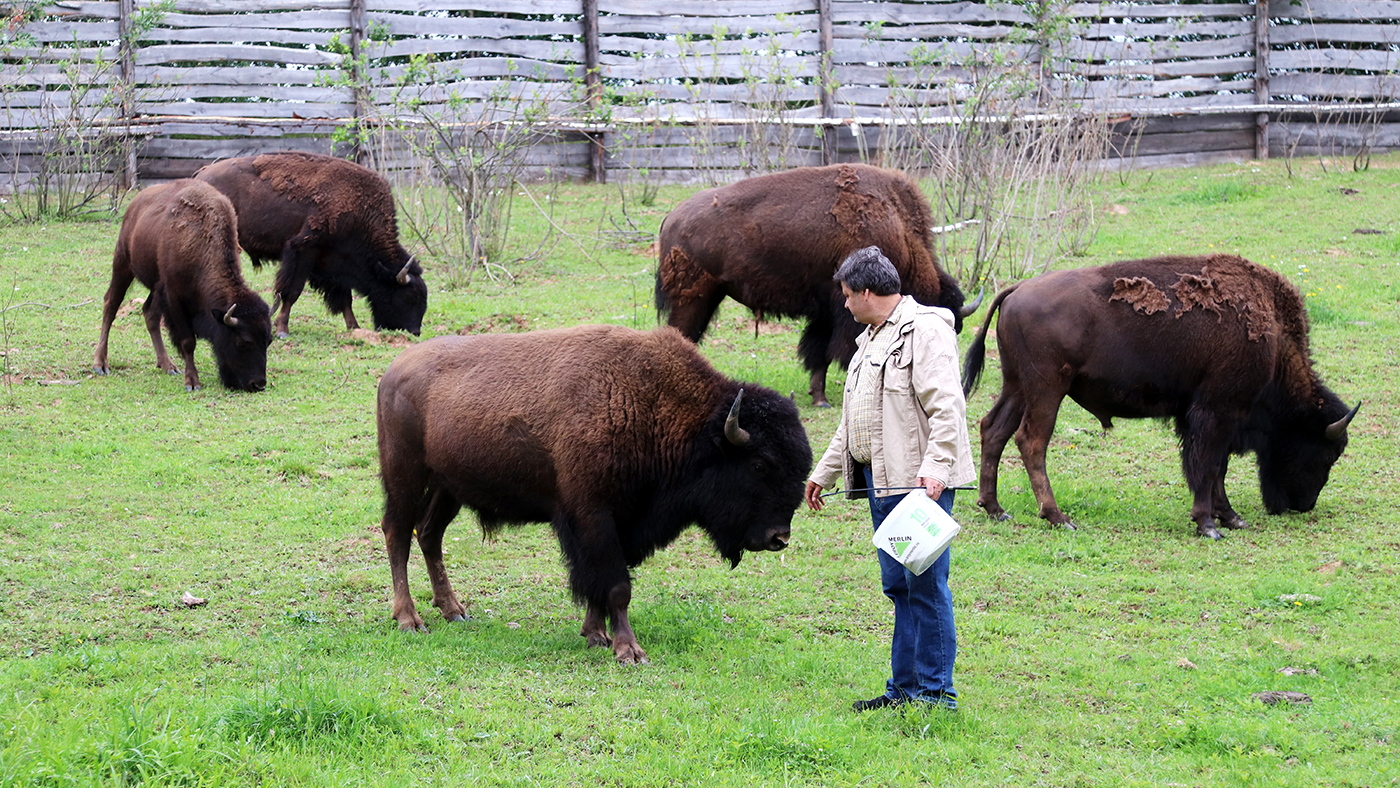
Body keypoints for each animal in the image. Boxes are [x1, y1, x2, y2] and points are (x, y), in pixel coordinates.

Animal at [92, 180, 273, 391]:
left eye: (268, 341)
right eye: (243, 342)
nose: (258, 384)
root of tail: (135, 203)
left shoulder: (166, 292)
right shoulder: (174, 298)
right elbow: (188, 342)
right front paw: (192, 382)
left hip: (155, 286)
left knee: (150, 314)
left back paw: (168, 365)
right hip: (122, 264)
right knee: (111, 305)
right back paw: (100, 364)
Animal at [193, 151, 425, 338]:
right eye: (410, 296)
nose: (415, 331)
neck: (361, 211)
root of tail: (201, 174)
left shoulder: (335, 265)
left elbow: (345, 298)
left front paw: (354, 327)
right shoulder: (303, 252)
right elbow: (291, 292)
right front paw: (282, 330)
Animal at [378, 323, 817, 663]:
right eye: (759, 465)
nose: (779, 537)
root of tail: (393, 371)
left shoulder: (608, 525)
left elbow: (595, 583)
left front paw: (595, 635)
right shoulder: (594, 516)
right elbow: (616, 585)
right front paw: (628, 651)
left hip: (447, 486)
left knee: (429, 534)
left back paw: (453, 610)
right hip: (404, 475)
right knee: (398, 534)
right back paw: (410, 620)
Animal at [652, 160, 974, 405]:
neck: (896, 223)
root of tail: (670, 218)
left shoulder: (825, 313)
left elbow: (819, 352)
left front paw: (818, 396)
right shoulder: (842, 313)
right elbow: (839, 350)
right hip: (693, 299)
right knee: (680, 334)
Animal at [963, 256, 1355, 540]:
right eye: (1326, 454)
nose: (1303, 505)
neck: (1272, 336)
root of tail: (1017, 290)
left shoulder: (1207, 417)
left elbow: (1215, 467)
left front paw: (1230, 518)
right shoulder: (1218, 412)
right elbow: (1208, 465)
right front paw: (1209, 525)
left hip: (1016, 387)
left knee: (993, 430)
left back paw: (995, 509)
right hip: (1047, 390)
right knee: (1031, 442)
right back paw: (1058, 518)